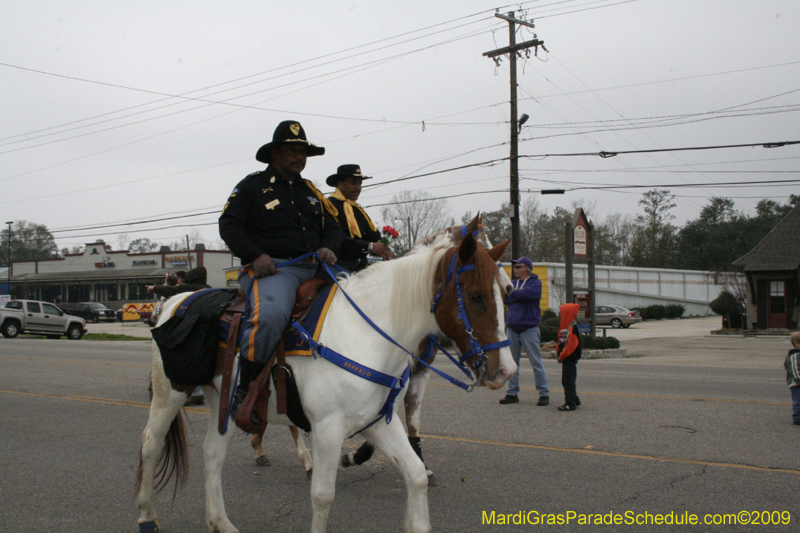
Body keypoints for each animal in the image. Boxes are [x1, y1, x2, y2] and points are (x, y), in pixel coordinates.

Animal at [134, 222, 516, 528]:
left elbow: (416, 475)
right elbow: (322, 496)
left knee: (212, 453)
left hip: (221, 401)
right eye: (476, 295)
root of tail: (174, 301)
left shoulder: (380, 422)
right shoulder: (328, 429)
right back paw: (147, 516)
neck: (366, 333)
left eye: (505, 293)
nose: (506, 371)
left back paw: (221, 523)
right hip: (173, 391)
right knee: (151, 443)